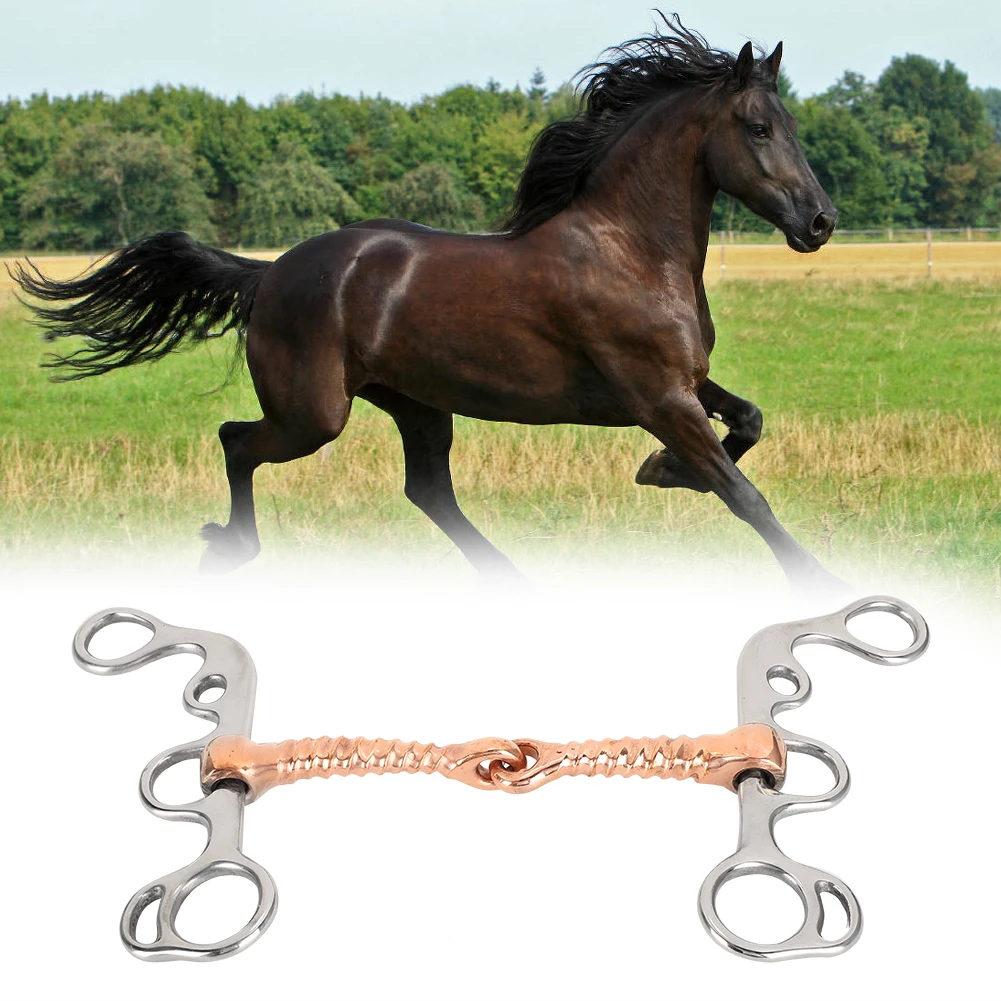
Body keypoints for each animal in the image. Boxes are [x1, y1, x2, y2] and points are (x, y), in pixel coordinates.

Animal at [12, 19, 839, 587]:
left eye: (792, 126)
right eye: (757, 128)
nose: (819, 222)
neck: (630, 248)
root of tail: (269, 273)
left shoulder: (683, 383)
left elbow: (748, 422)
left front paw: (660, 470)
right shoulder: (655, 394)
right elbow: (742, 493)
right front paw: (816, 577)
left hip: (415, 402)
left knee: (427, 490)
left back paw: (514, 582)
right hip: (315, 412)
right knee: (236, 440)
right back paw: (231, 546)